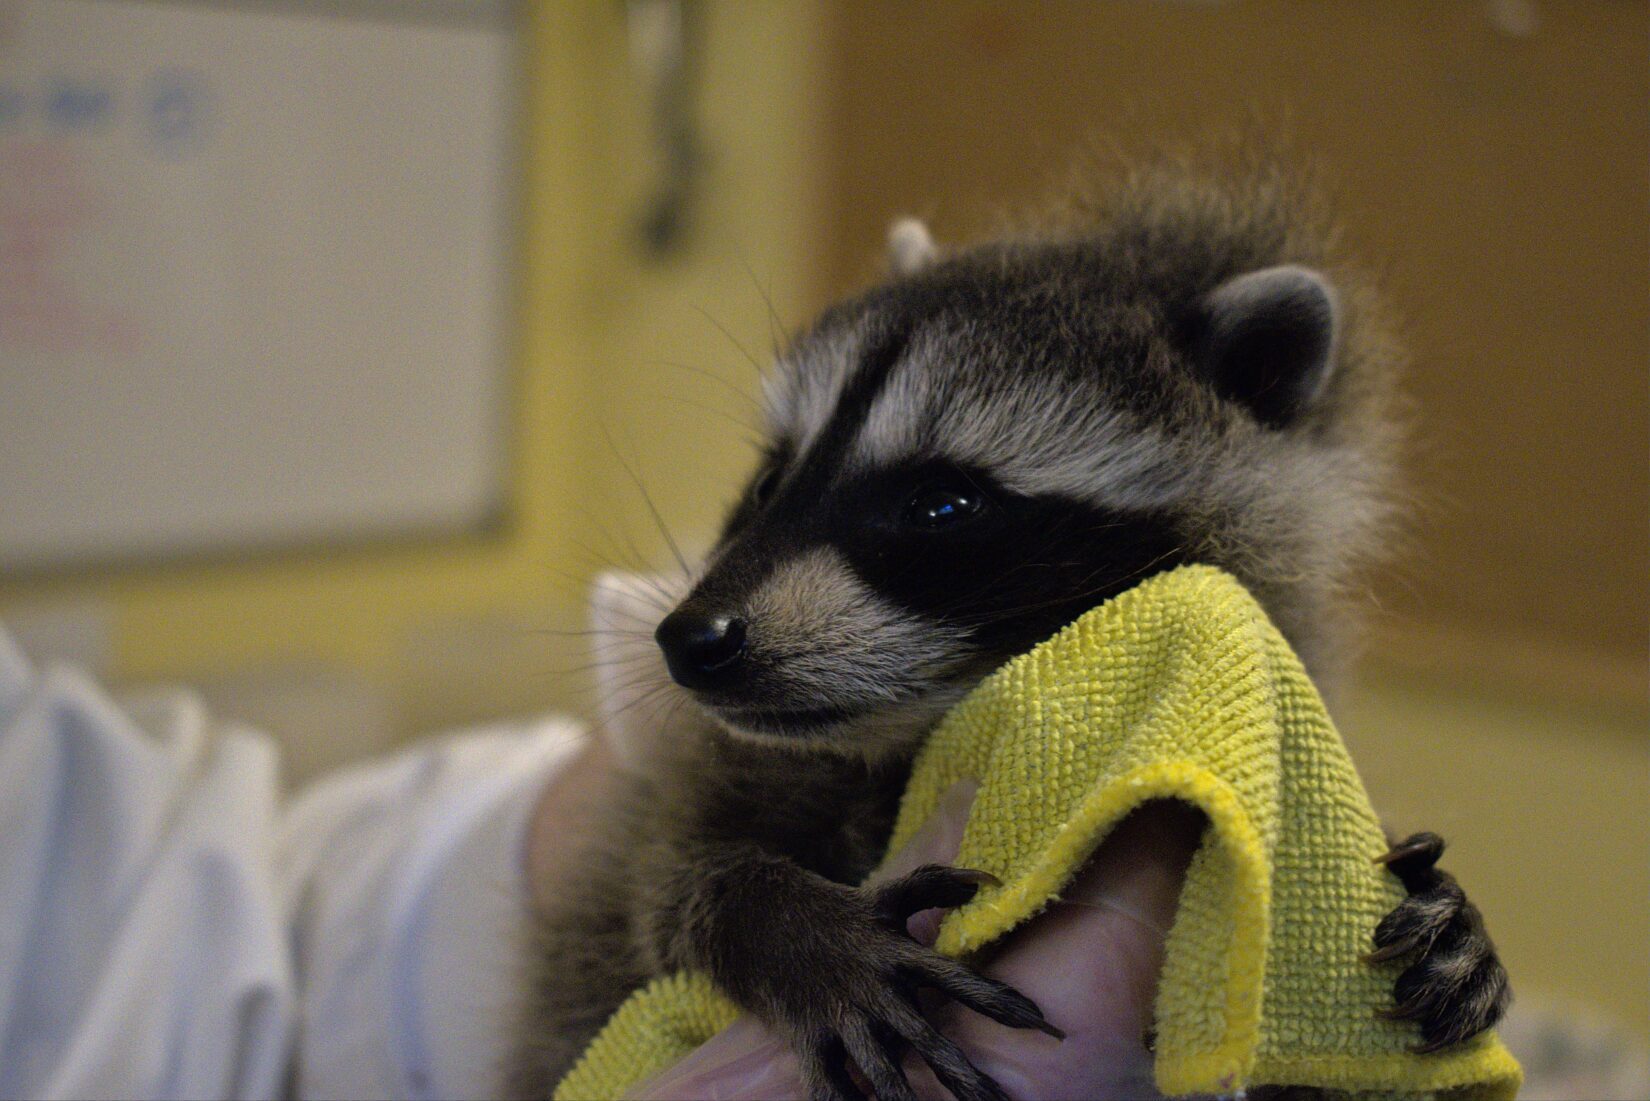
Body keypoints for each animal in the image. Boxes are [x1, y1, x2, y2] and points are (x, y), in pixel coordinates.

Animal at [511, 159, 1511, 1096]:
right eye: (767, 483)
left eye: (941, 506)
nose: (691, 638)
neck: (898, 740)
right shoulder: (708, 779)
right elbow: (664, 887)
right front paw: (778, 923)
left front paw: (1452, 907)